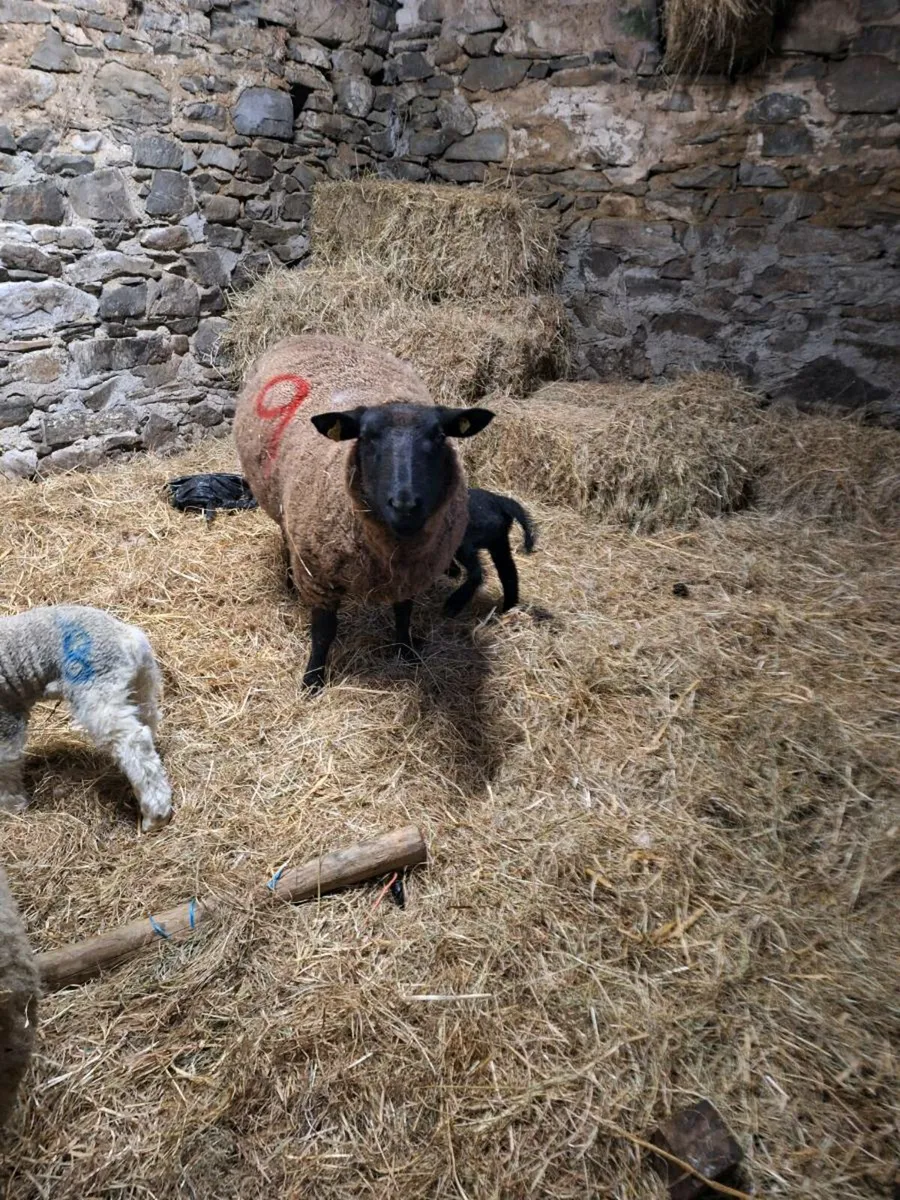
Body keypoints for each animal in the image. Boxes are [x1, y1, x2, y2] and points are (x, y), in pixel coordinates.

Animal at [0, 605, 173, 832]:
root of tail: (126, 636)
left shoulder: (6, 713)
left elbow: (6, 762)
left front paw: (11, 805)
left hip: (97, 687)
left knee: (134, 742)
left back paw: (155, 814)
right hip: (140, 683)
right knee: (148, 721)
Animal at [234, 334, 494, 690]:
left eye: (440, 436)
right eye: (367, 437)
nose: (405, 505)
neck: (393, 551)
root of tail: (309, 334)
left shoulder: (411, 574)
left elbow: (404, 613)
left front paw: (406, 651)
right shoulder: (319, 578)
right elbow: (323, 633)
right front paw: (313, 680)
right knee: (286, 537)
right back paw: (288, 581)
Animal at [444, 488, 537, 618]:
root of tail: (499, 501)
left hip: (466, 539)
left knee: (477, 571)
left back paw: (453, 605)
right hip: (499, 541)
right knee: (509, 573)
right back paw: (508, 609)